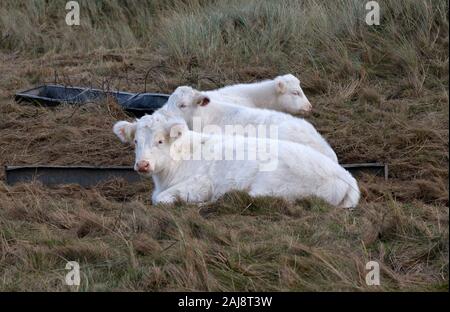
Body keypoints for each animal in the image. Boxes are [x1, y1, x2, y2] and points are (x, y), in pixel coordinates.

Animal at [112, 114, 358, 207]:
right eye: (136, 141)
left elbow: (160, 199)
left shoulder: (200, 184)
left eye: (160, 141)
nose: (142, 164)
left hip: (272, 188)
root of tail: (347, 178)